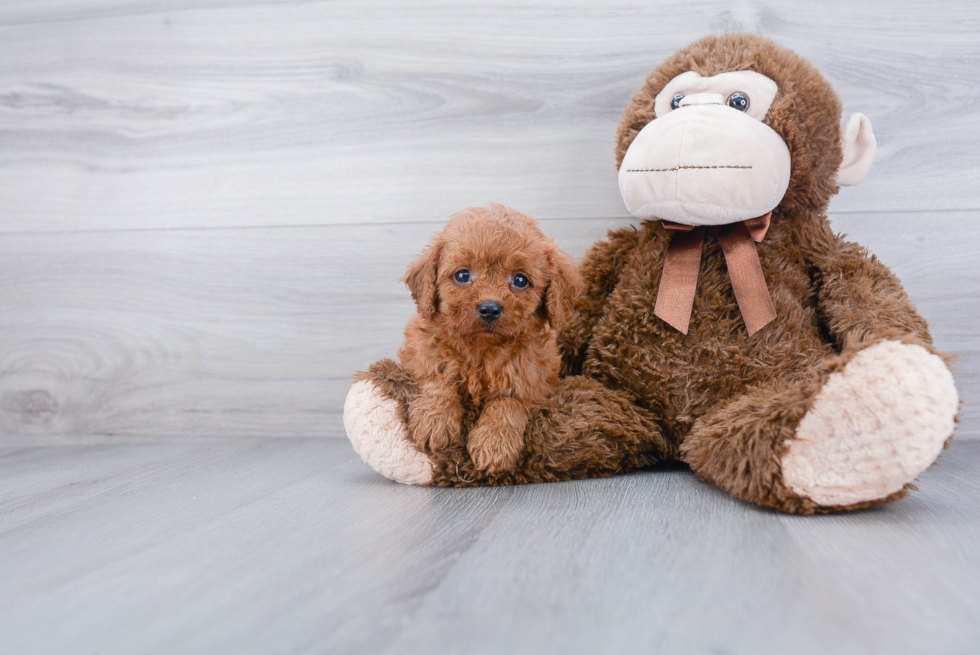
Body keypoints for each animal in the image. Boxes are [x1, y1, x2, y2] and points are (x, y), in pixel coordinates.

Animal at [396, 205, 580, 476]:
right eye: (463, 275)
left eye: (520, 280)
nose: (490, 309)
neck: (481, 348)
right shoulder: (422, 347)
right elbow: (438, 376)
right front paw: (435, 419)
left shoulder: (534, 376)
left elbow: (508, 402)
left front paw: (495, 443)